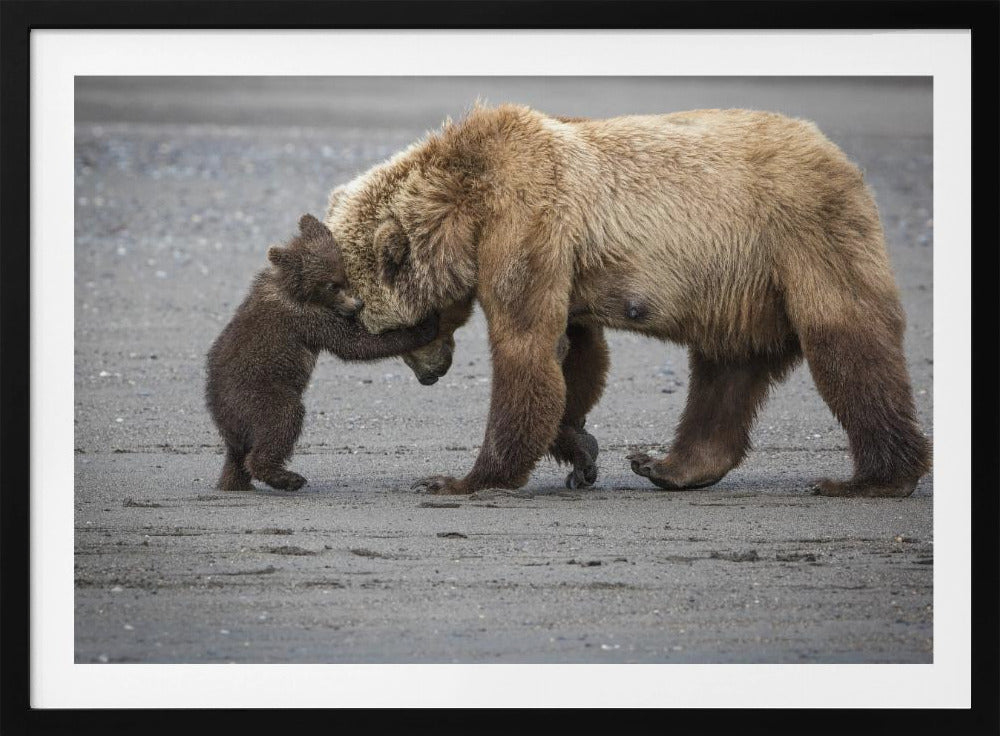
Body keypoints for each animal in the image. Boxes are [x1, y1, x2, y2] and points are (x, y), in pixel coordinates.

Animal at [205, 214, 438, 492]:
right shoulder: (308, 318)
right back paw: (287, 477)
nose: (357, 304)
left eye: (344, 276)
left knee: (238, 456)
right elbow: (354, 344)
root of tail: (220, 415)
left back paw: (235, 482)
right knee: (282, 420)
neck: (296, 291)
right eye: (331, 285)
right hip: (257, 394)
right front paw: (425, 326)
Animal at [324, 104, 931, 498]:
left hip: (801, 235)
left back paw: (873, 478)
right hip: (739, 287)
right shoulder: (560, 256)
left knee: (847, 343)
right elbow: (574, 353)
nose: (431, 375)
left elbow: (526, 346)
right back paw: (669, 466)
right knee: (725, 371)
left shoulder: (527, 220)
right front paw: (581, 450)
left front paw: (462, 479)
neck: (465, 204)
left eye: (390, 329)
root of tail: (839, 155)